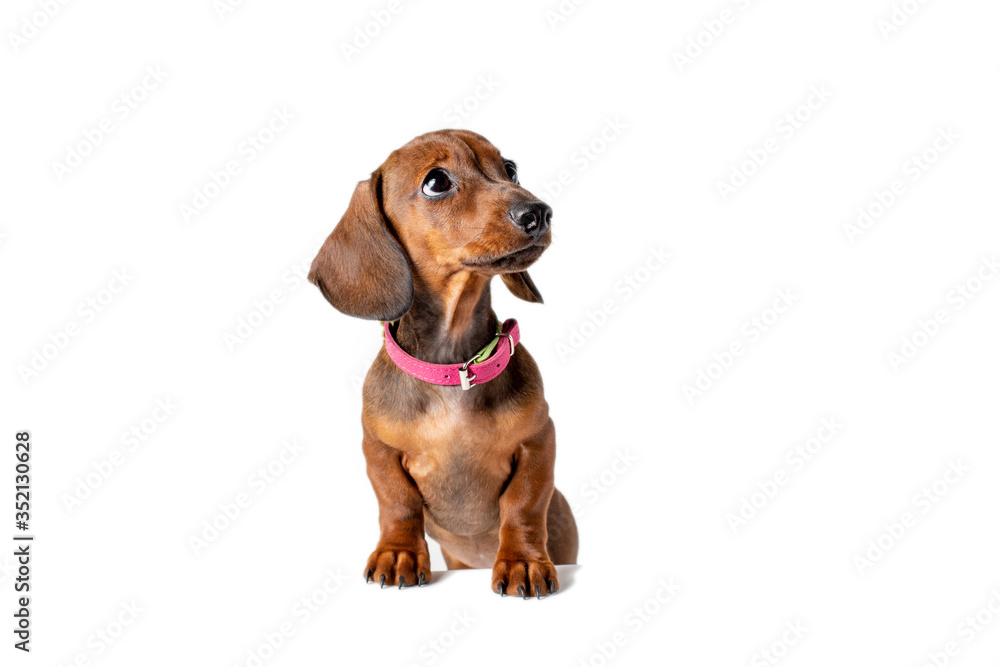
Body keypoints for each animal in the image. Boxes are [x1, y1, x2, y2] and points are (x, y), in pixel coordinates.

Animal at [310, 130, 580, 600]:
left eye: (510, 169)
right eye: (436, 182)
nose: (540, 213)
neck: (454, 370)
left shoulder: (539, 440)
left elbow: (524, 504)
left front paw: (523, 562)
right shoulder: (378, 449)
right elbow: (397, 503)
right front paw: (398, 554)